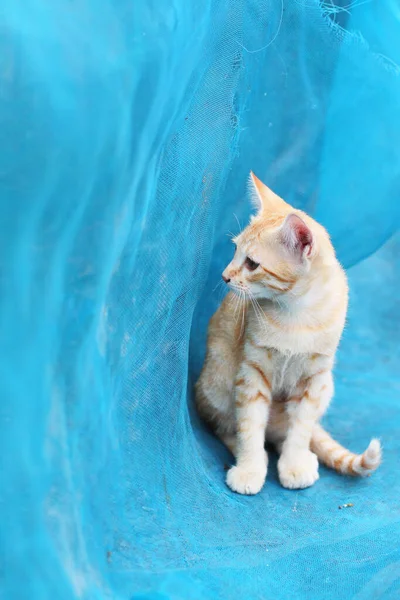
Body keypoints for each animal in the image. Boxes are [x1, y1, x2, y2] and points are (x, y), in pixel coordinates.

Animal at [196, 172, 382, 492]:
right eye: (234, 251)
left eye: (252, 263)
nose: (224, 276)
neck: (298, 314)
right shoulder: (251, 373)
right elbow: (249, 427)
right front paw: (250, 468)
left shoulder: (314, 380)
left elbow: (301, 428)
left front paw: (294, 464)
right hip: (215, 383)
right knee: (229, 427)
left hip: (326, 387)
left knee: (286, 432)